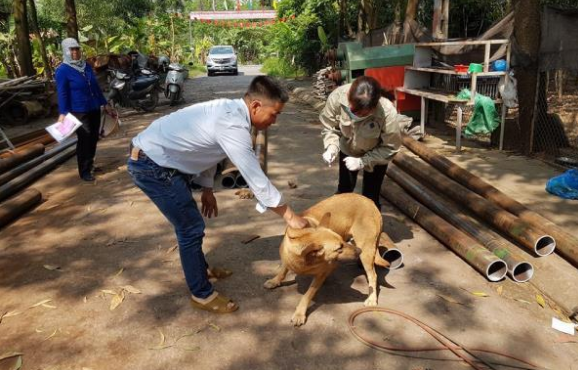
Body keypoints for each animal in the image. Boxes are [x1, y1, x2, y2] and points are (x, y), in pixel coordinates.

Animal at [264, 192, 390, 326]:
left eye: (341, 243)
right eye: (339, 248)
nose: (358, 251)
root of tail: (370, 201)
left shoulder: (320, 274)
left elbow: (307, 294)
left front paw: (299, 313)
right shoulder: (288, 259)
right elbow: (283, 270)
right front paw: (275, 280)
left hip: (366, 250)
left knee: (373, 275)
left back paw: (371, 298)